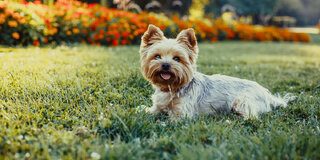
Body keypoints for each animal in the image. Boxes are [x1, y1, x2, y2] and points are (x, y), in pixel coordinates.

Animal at [140, 24, 292, 119]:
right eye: (157, 56)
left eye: (177, 58)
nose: (165, 65)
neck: (171, 87)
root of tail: (268, 95)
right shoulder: (157, 107)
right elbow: (150, 110)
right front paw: (141, 110)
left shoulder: (182, 113)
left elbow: (171, 120)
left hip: (242, 101)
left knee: (251, 117)